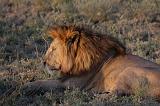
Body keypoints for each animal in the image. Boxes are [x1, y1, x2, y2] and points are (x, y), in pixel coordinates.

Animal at [22, 25, 160, 100]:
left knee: (115, 94)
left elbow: (46, 82)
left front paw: (27, 86)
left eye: (53, 49)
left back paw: (91, 95)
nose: (43, 62)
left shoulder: (72, 83)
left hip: (129, 70)